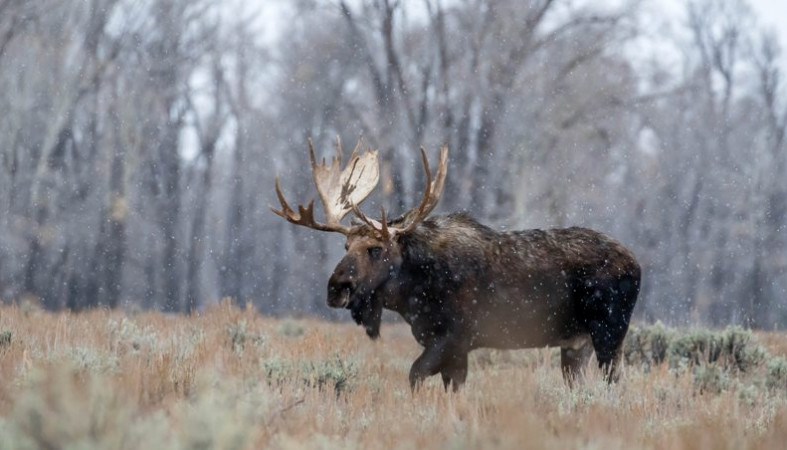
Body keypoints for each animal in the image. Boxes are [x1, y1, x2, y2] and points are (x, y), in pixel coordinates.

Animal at [270, 141, 640, 390]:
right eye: (346, 246)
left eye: (375, 249)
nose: (336, 289)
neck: (411, 295)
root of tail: (637, 264)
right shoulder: (451, 349)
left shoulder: (454, 338)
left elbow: (415, 375)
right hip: (576, 345)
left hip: (609, 334)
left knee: (614, 382)